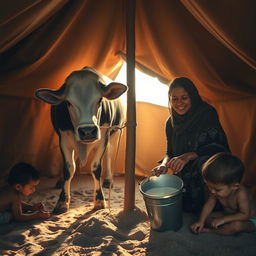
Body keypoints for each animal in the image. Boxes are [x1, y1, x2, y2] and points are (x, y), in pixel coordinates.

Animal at [35, 67, 127, 213]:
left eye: (100, 100)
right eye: (68, 102)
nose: (88, 131)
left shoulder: (103, 138)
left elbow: (96, 167)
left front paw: (99, 200)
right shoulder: (64, 139)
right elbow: (69, 168)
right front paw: (62, 201)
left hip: (116, 133)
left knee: (108, 155)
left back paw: (108, 180)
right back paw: (60, 180)